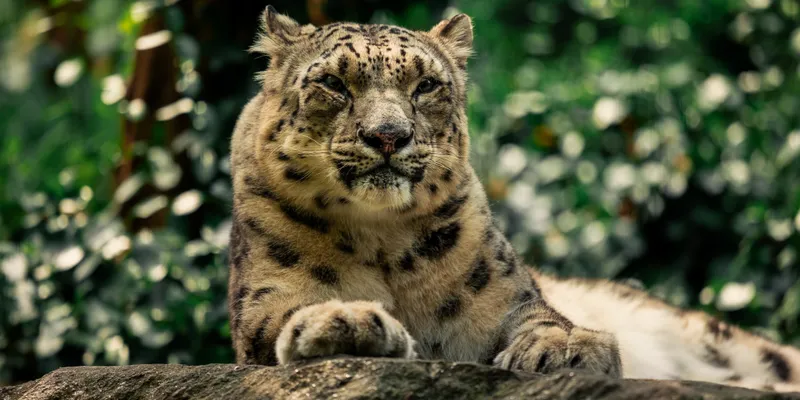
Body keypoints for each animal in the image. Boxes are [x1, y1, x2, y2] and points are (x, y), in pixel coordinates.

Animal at [227, 5, 800, 392]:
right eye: (332, 82)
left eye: (426, 85)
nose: (389, 136)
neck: (382, 239)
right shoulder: (264, 300)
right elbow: (284, 317)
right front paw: (342, 322)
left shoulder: (504, 295)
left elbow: (541, 317)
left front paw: (565, 347)